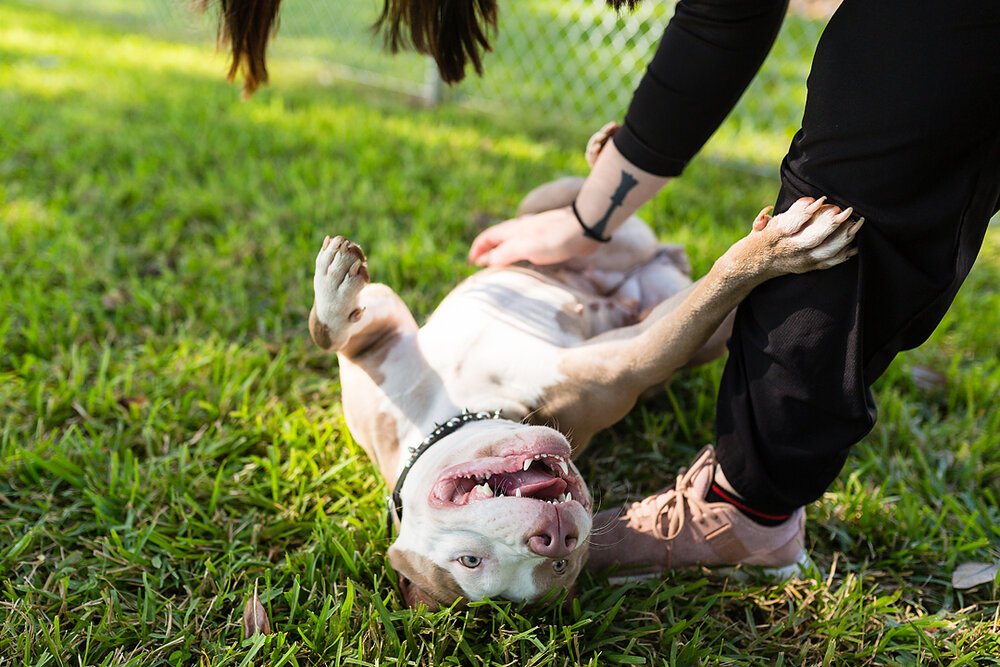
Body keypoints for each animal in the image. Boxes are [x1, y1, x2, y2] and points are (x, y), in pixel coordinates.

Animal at [310, 147, 860, 612]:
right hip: (695, 335)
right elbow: (714, 291)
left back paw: (602, 155)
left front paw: (334, 290)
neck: (454, 413)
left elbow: (329, 333)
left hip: (544, 211)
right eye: (473, 561)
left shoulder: (380, 342)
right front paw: (777, 252)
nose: (554, 537)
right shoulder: (631, 360)